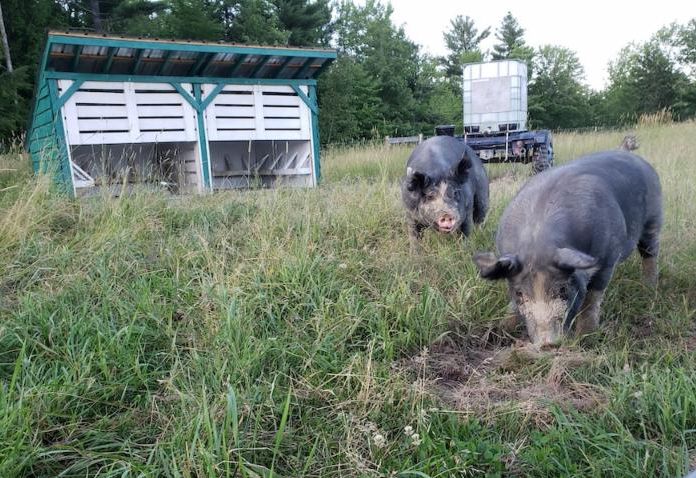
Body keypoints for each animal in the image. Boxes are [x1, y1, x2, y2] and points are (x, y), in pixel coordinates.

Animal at [473, 150, 662, 347]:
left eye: (563, 289)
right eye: (519, 293)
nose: (547, 344)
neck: (537, 243)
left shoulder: (608, 259)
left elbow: (592, 298)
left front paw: (585, 336)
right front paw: (501, 329)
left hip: (654, 219)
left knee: (650, 254)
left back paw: (649, 288)